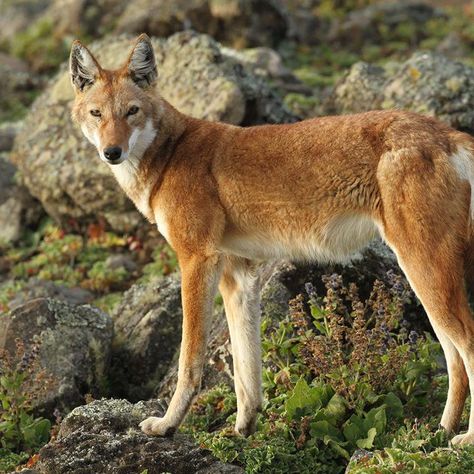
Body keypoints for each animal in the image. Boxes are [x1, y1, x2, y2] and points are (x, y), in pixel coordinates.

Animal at [68, 34, 474, 444]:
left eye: (131, 111)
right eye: (97, 114)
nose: (112, 152)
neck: (170, 154)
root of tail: (449, 134)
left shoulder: (197, 261)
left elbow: (190, 361)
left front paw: (167, 425)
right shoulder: (238, 278)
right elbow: (247, 373)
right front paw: (242, 431)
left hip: (425, 274)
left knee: (467, 348)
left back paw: (464, 440)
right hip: (428, 286)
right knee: (454, 359)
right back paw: (440, 432)